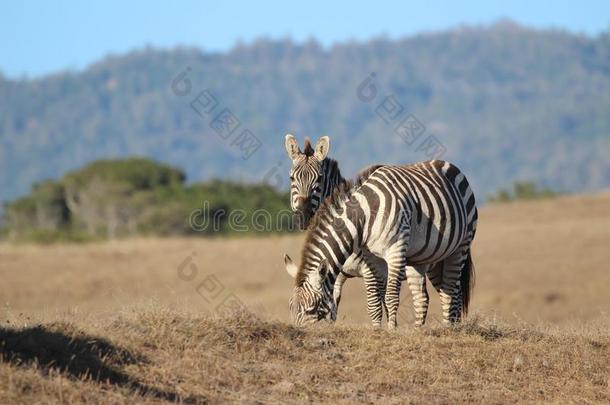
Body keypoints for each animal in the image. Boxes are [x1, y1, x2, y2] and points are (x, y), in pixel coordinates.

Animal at [282, 159, 478, 328]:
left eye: (311, 309)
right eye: (290, 307)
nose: (302, 217)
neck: (365, 216)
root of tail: (446, 164)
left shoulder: (395, 250)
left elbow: (389, 298)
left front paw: (391, 330)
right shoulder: (370, 259)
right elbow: (370, 302)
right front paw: (378, 330)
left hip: (460, 247)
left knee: (452, 293)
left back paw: (449, 329)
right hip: (426, 258)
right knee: (424, 297)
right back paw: (419, 331)